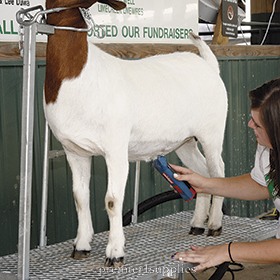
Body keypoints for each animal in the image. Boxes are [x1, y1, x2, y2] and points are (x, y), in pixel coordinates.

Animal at [43, 0, 228, 268]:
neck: (80, 75)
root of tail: (209, 65)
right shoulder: (75, 151)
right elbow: (80, 197)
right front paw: (81, 246)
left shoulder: (115, 148)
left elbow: (112, 201)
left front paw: (114, 252)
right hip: (185, 141)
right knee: (201, 173)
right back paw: (196, 225)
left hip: (212, 131)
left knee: (218, 172)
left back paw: (214, 225)